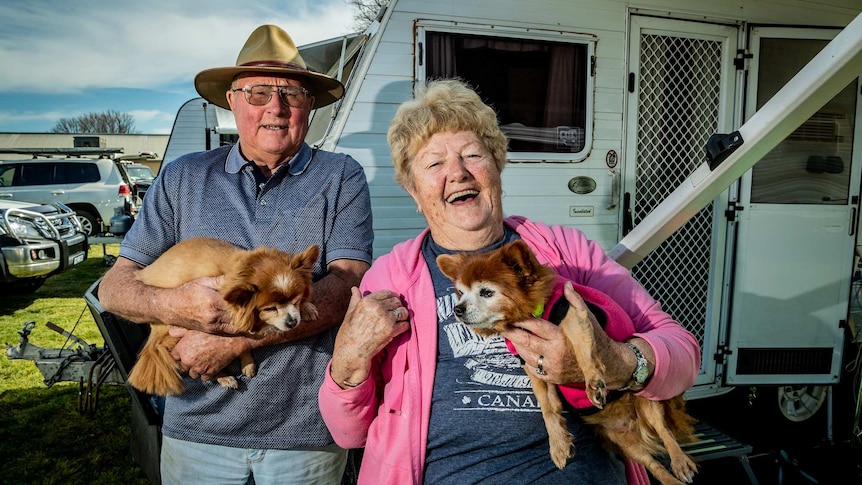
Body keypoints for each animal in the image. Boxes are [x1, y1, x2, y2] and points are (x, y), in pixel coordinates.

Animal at [438, 241, 704, 484]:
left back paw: (680, 462)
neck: (533, 312)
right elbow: (548, 408)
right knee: (652, 463)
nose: (457, 309)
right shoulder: (533, 365)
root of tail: (634, 422)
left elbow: (584, 349)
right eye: (461, 292)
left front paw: (593, 381)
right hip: (624, 441)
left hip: (647, 400)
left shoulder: (573, 314)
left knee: (664, 431)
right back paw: (670, 479)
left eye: (486, 292)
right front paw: (558, 444)